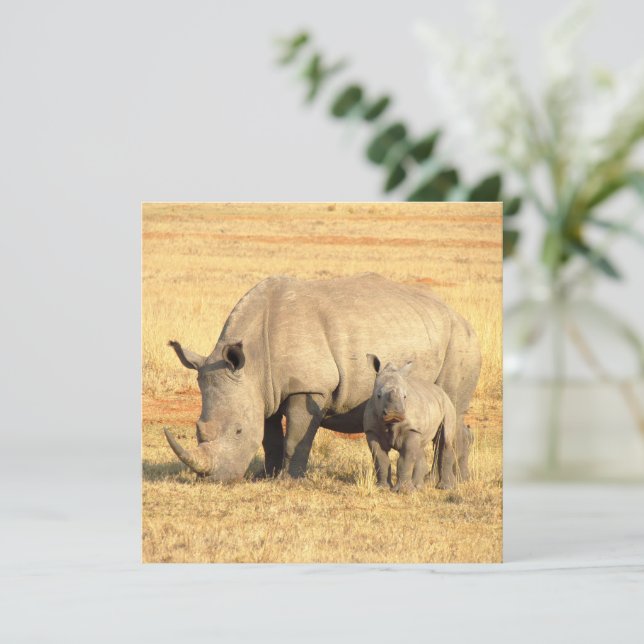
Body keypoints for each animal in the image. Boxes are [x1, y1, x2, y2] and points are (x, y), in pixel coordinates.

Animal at [363, 356, 459, 490]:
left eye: (404, 396)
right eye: (378, 395)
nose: (394, 413)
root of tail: (441, 391)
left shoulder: (411, 428)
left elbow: (405, 459)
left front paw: (404, 491)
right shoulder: (372, 431)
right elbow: (380, 459)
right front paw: (382, 488)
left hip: (448, 405)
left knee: (445, 440)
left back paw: (445, 487)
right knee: (419, 448)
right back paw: (419, 487)